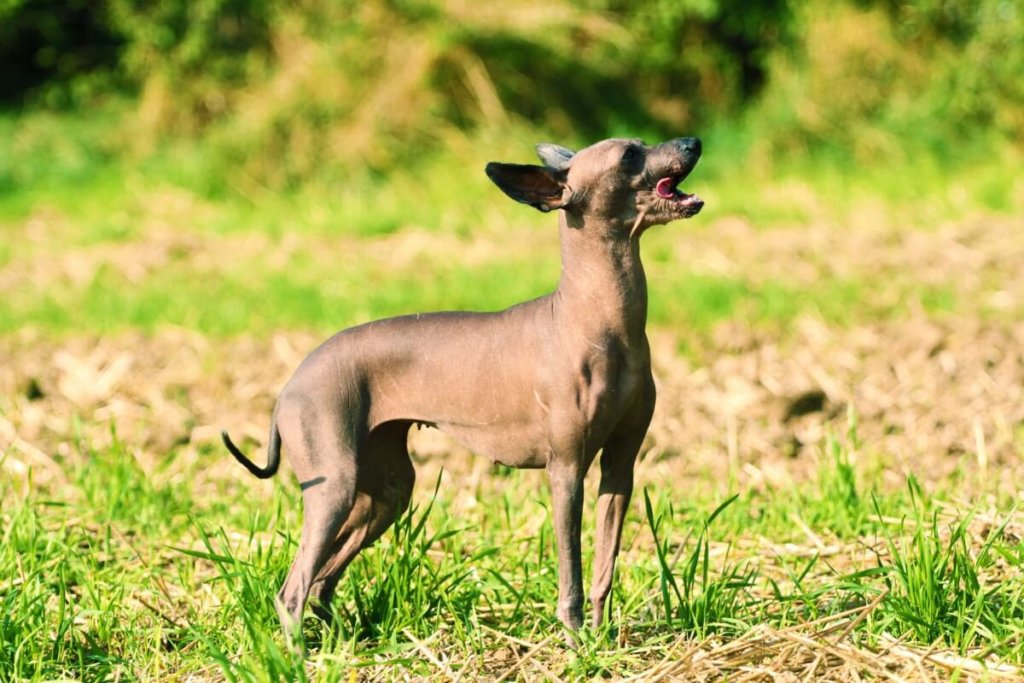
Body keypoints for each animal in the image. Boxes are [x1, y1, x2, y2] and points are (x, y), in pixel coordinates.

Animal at [222, 136, 704, 643]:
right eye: (630, 154)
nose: (692, 142)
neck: (598, 319)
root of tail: (290, 383)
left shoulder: (620, 467)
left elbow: (603, 569)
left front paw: (602, 638)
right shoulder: (566, 471)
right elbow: (570, 570)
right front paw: (575, 642)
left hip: (386, 493)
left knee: (321, 580)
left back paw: (346, 644)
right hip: (333, 486)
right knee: (294, 587)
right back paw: (298, 653)